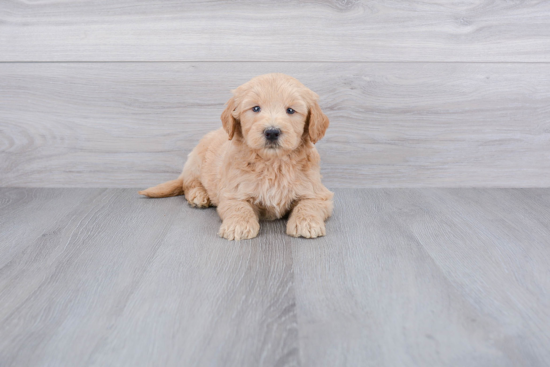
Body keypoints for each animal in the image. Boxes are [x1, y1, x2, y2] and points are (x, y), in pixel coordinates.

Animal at [140, 75, 334, 242]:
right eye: (255, 108)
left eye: (291, 110)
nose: (272, 132)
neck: (272, 163)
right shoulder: (233, 191)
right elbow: (239, 207)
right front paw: (238, 225)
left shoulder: (318, 192)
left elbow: (309, 204)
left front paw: (307, 223)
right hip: (195, 160)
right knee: (189, 183)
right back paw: (199, 195)